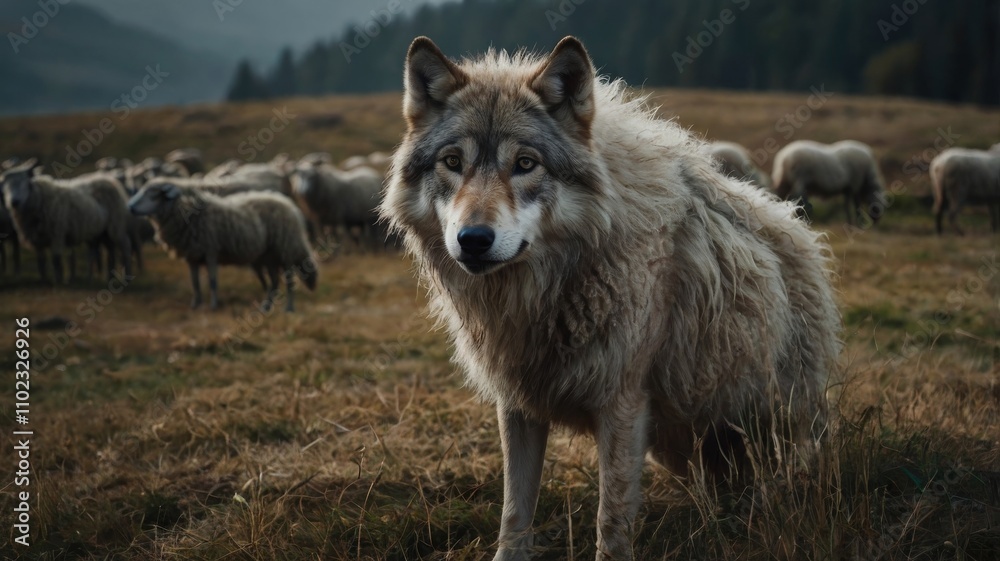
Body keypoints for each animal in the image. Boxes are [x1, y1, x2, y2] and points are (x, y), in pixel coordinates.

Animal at [381, 36, 841, 561]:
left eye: (525, 164)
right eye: (453, 163)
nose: (473, 239)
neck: (544, 297)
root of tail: (799, 228)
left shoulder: (622, 406)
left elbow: (611, 516)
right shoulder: (518, 405)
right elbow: (515, 512)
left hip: (775, 417)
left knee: (800, 462)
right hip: (693, 437)